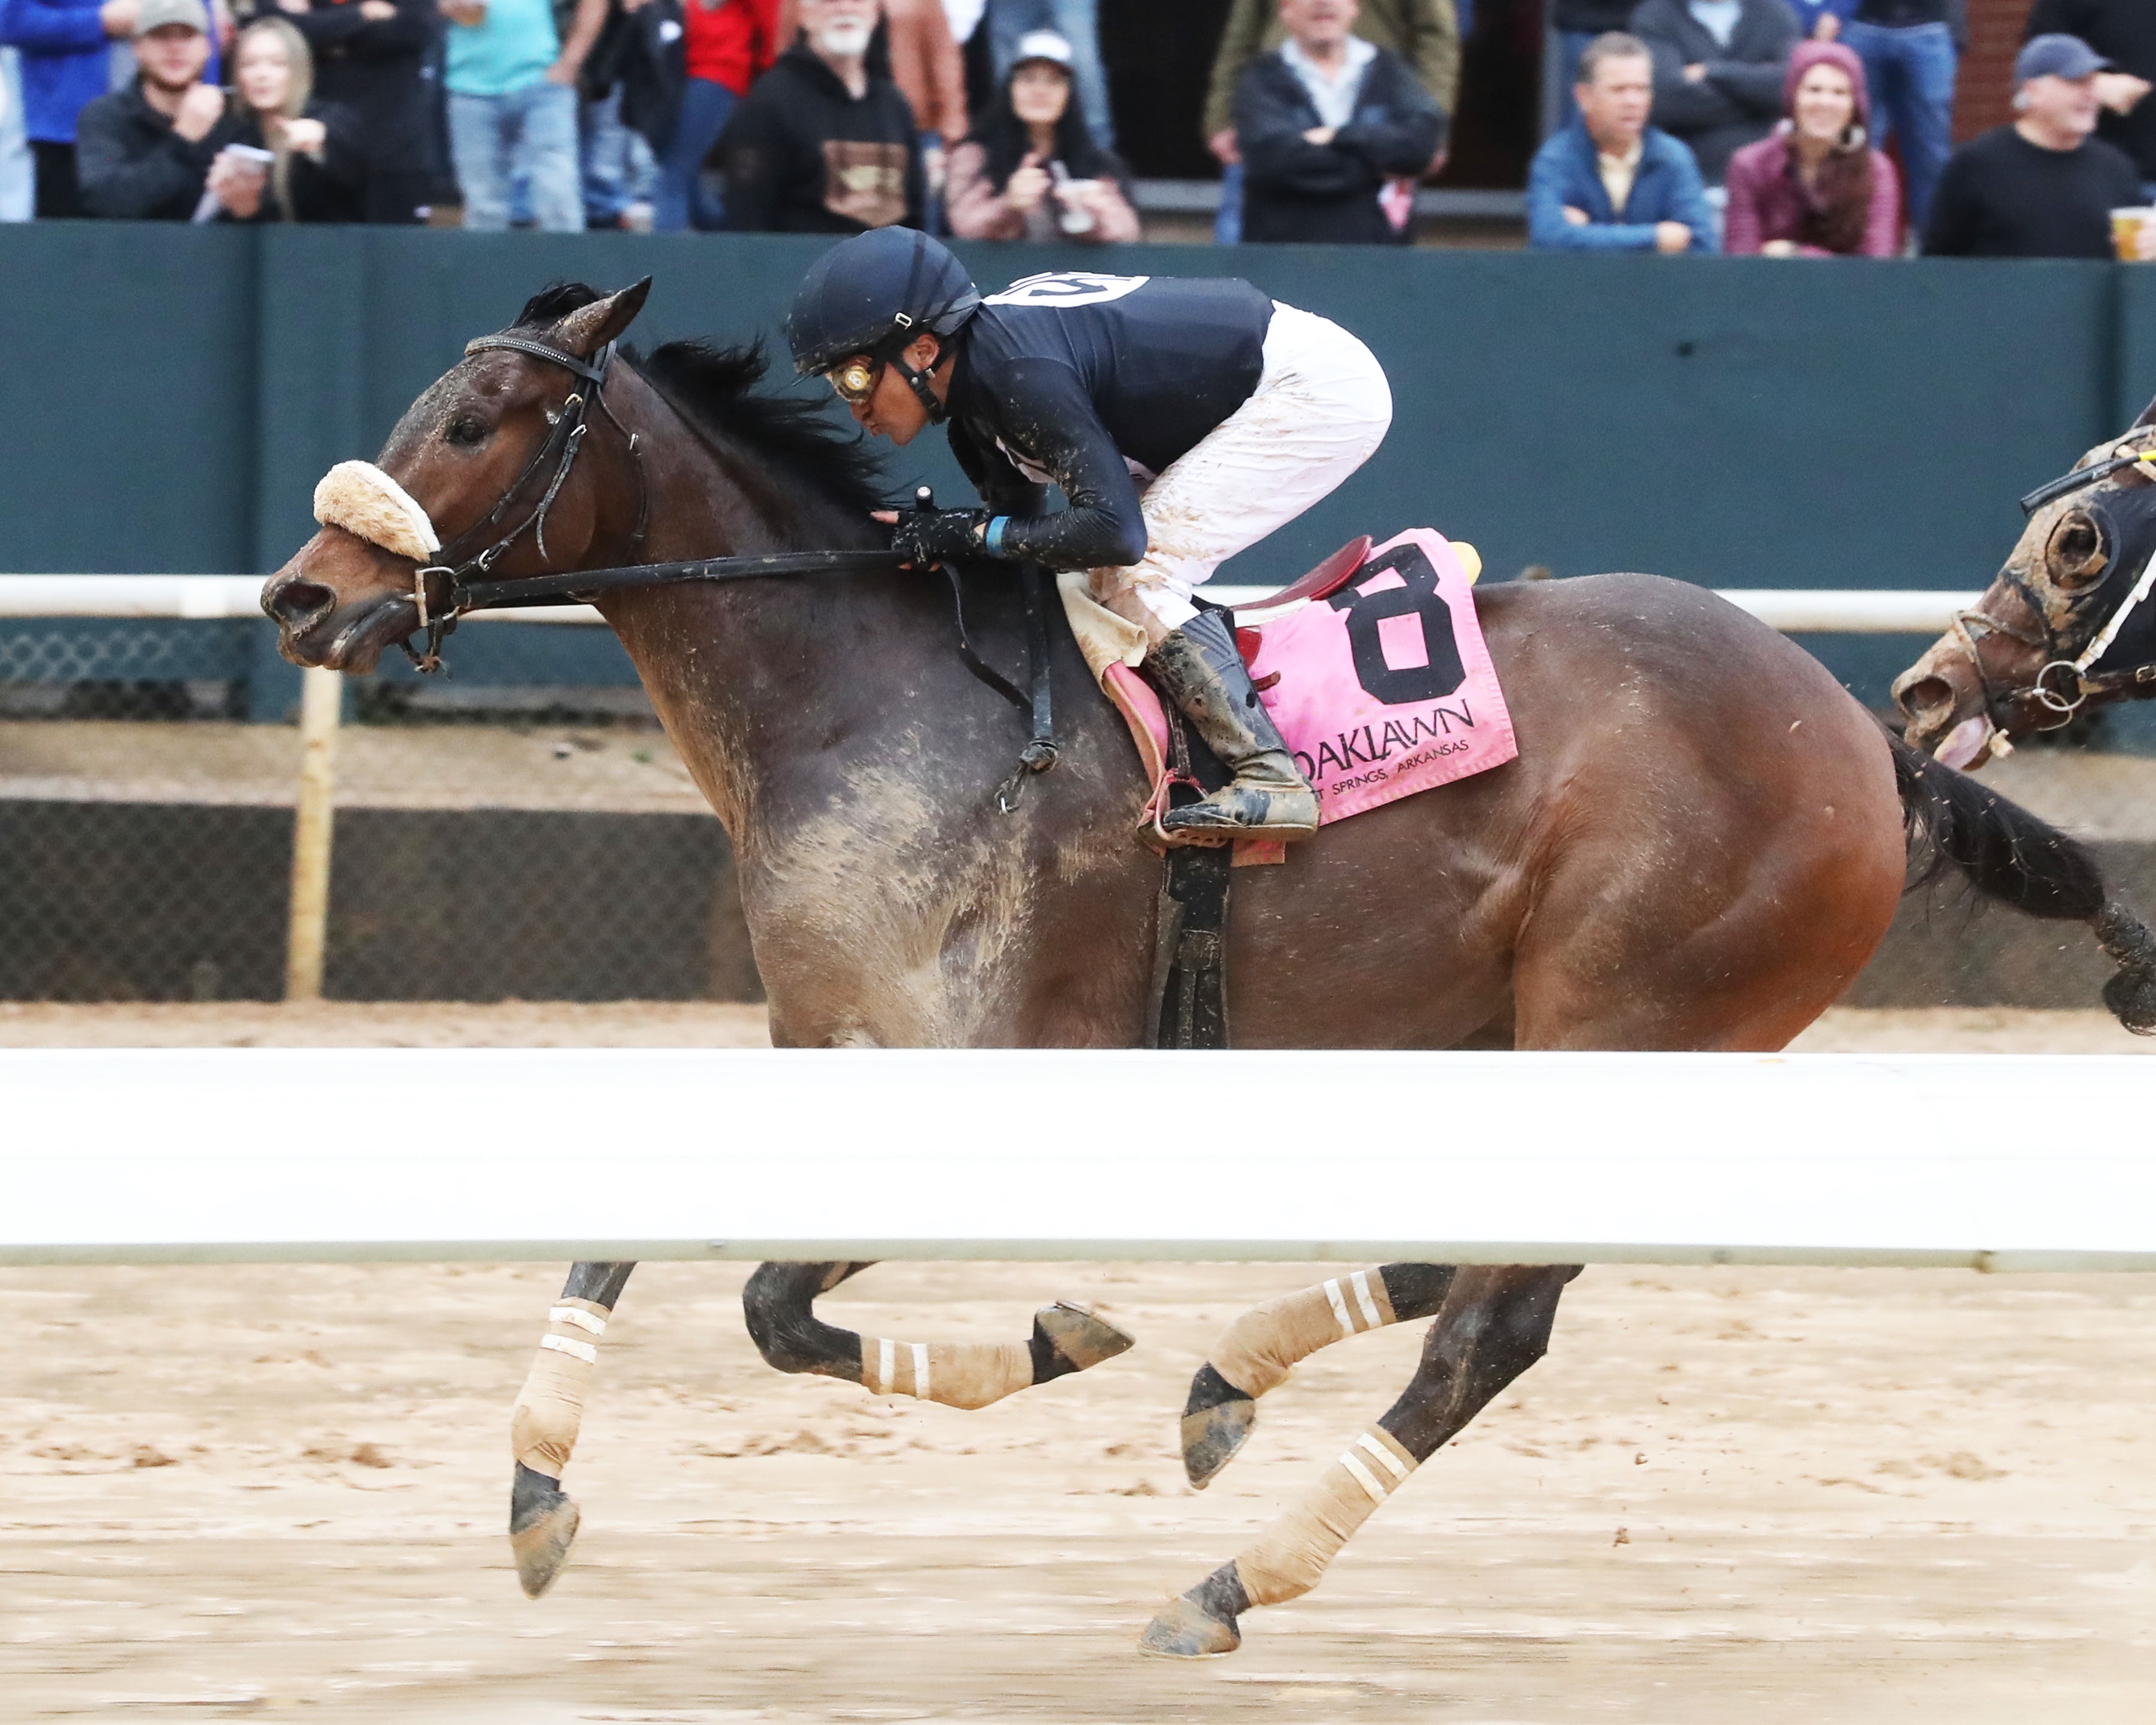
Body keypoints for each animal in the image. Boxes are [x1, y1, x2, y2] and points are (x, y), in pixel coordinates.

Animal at [261, 279, 2156, 1656]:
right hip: (1528, 1033)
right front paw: (533, 1495)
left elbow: (776, 1307)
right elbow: (637, 1235)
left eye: (478, 420)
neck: (856, 690)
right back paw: (1231, 1378)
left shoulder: (969, 1071)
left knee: (1494, 1330)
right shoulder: (818, 1046)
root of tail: (1860, 734)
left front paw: (1054, 1333)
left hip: (1638, 1018)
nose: (297, 596)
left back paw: (1232, 1581)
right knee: (1458, 1259)